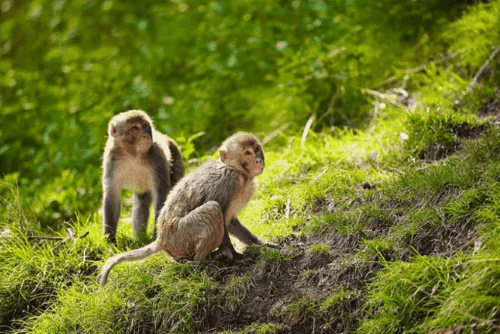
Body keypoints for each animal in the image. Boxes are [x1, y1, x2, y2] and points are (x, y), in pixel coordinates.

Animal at [99, 132, 276, 288]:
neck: (238, 170)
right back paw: (205, 260)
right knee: (212, 209)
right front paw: (234, 255)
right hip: (180, 235)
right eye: (247, 153)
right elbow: (220, 212)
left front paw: (258, 242)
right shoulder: (228, 182)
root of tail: (161, 239)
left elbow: (230, 221)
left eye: (257, 149)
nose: (258, 160)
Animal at [101, 109, 184, 243]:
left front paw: (157, 236)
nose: (145, 135)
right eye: (135, 128)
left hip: (176, 162)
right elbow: (112, 195)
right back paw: (139, 238)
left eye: (145, 126)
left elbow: (161, 194)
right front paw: (110, 239)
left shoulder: (157, 154)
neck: (133, 154)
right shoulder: (111, 158)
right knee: (141, 203)